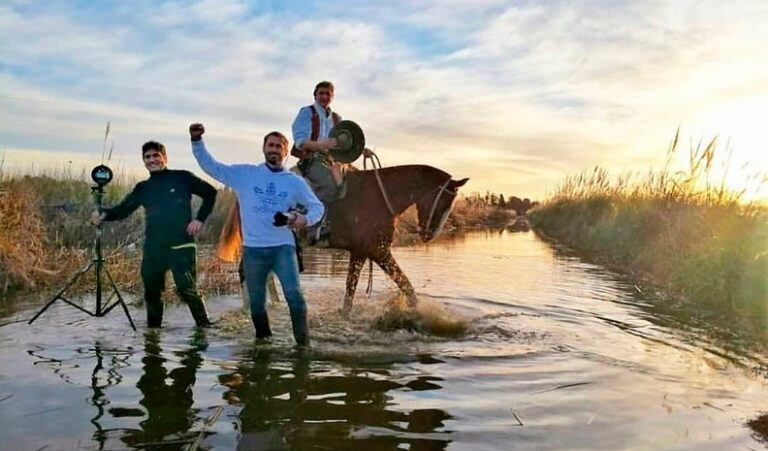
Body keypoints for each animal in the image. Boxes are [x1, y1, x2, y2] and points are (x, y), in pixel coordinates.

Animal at [218, 165, 468, 310]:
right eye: (444, 201)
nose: (429, 235)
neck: (380, 197)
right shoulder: (376, 252)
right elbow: (403, 286)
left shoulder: (366, 252)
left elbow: (355, 293)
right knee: (245, 273)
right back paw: (248, 309)